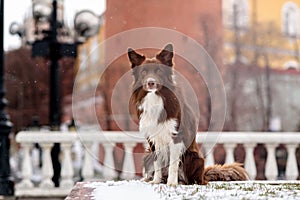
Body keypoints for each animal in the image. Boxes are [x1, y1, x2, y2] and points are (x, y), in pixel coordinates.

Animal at [128, 43, 248, 186]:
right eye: (144, 72)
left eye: (159, 71)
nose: (150, 83)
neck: (155, 98)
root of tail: (204, 175)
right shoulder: (152, 139)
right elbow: (157, 163)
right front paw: (156, 181)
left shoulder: (176, 137)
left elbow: (173, 165)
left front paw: (172, 183)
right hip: (147, 154)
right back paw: (152, 179)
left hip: (194, 157)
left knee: (190, 179)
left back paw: (180, 181)